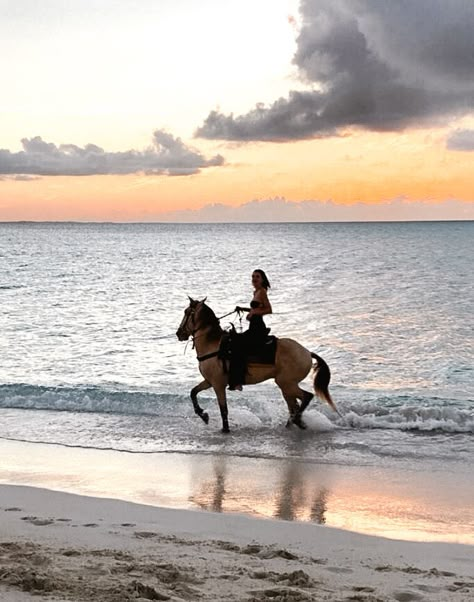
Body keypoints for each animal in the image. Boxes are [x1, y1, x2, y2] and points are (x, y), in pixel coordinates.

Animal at [176, 296, 338, 432]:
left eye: (186, 312)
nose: (179, 333)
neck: (212, 345)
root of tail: (307, 352)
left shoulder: (218, 384)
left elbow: (223, 409)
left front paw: (225, 429)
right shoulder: (209, 381)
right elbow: (193, 392)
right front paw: (203, 415)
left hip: (286, 383)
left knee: (306, 397)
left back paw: (296, 420)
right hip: (286, 385)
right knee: (294, 405)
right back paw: (294, 423)